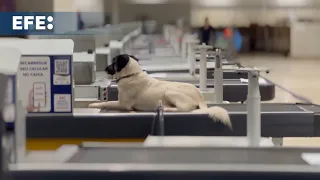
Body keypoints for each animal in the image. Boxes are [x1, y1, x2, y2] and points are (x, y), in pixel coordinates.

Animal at [89, 54, 231, 129]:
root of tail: (199, 96)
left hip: (169, 92)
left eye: (114, 62)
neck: (131, 75)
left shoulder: (122, 104)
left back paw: (167, 108)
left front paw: (93, 104)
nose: (105, 69)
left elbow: (106, 103)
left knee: (185, 108)